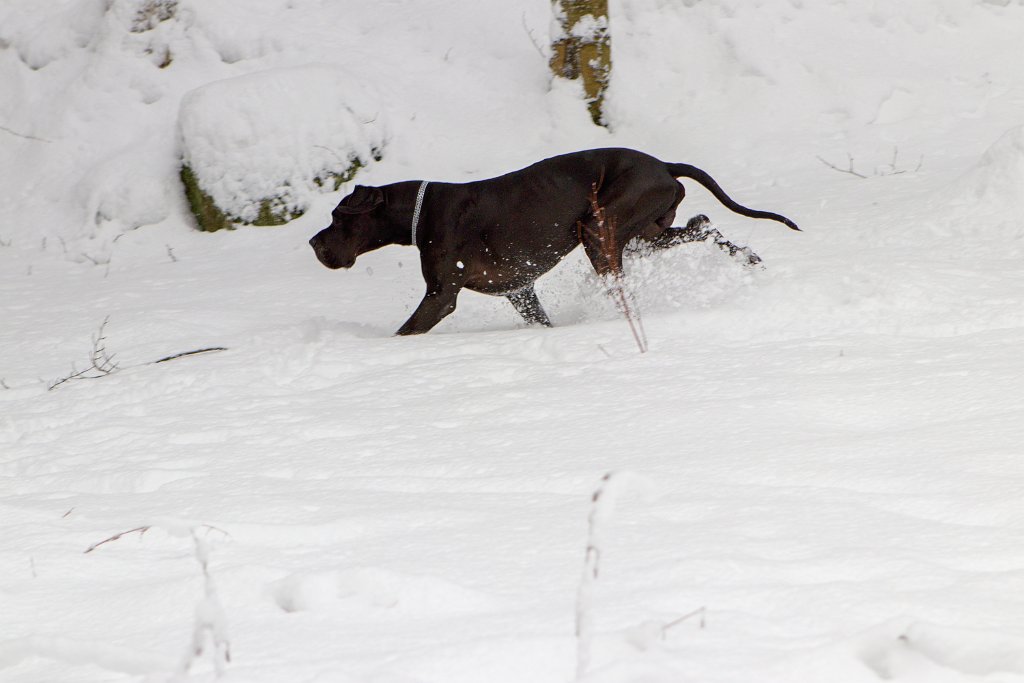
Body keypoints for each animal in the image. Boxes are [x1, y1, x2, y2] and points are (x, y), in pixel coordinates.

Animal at [307, 148, 794, 335]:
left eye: (337, 217)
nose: (314, 243)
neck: (421, 211)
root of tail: (663, 164)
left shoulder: (441, 295)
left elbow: (405, 332)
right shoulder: (519, 291)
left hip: (600, 231)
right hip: (646, 234)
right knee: (703, 223)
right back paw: (747, 258)